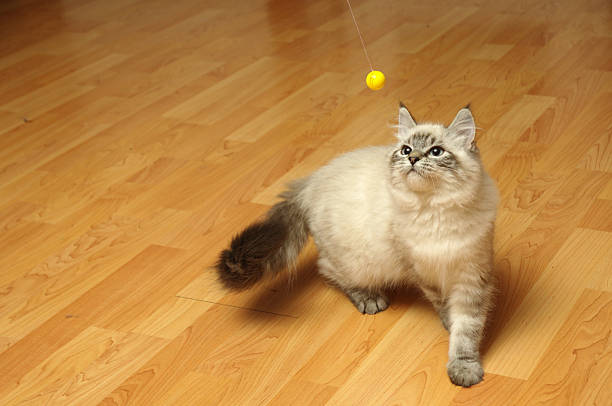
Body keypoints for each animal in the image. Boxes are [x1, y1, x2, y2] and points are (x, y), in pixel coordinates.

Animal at [215, 104, 498, 386]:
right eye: (406, 150)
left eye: (436, 151)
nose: (413, 159)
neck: (435, 211)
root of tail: (312, 181)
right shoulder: (422, 271)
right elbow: (447, 309)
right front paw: (451, 330)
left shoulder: (473, 275)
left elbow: (467, 329)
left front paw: (464, 367)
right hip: (356, 263)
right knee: (327, 269)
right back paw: (370, 299)